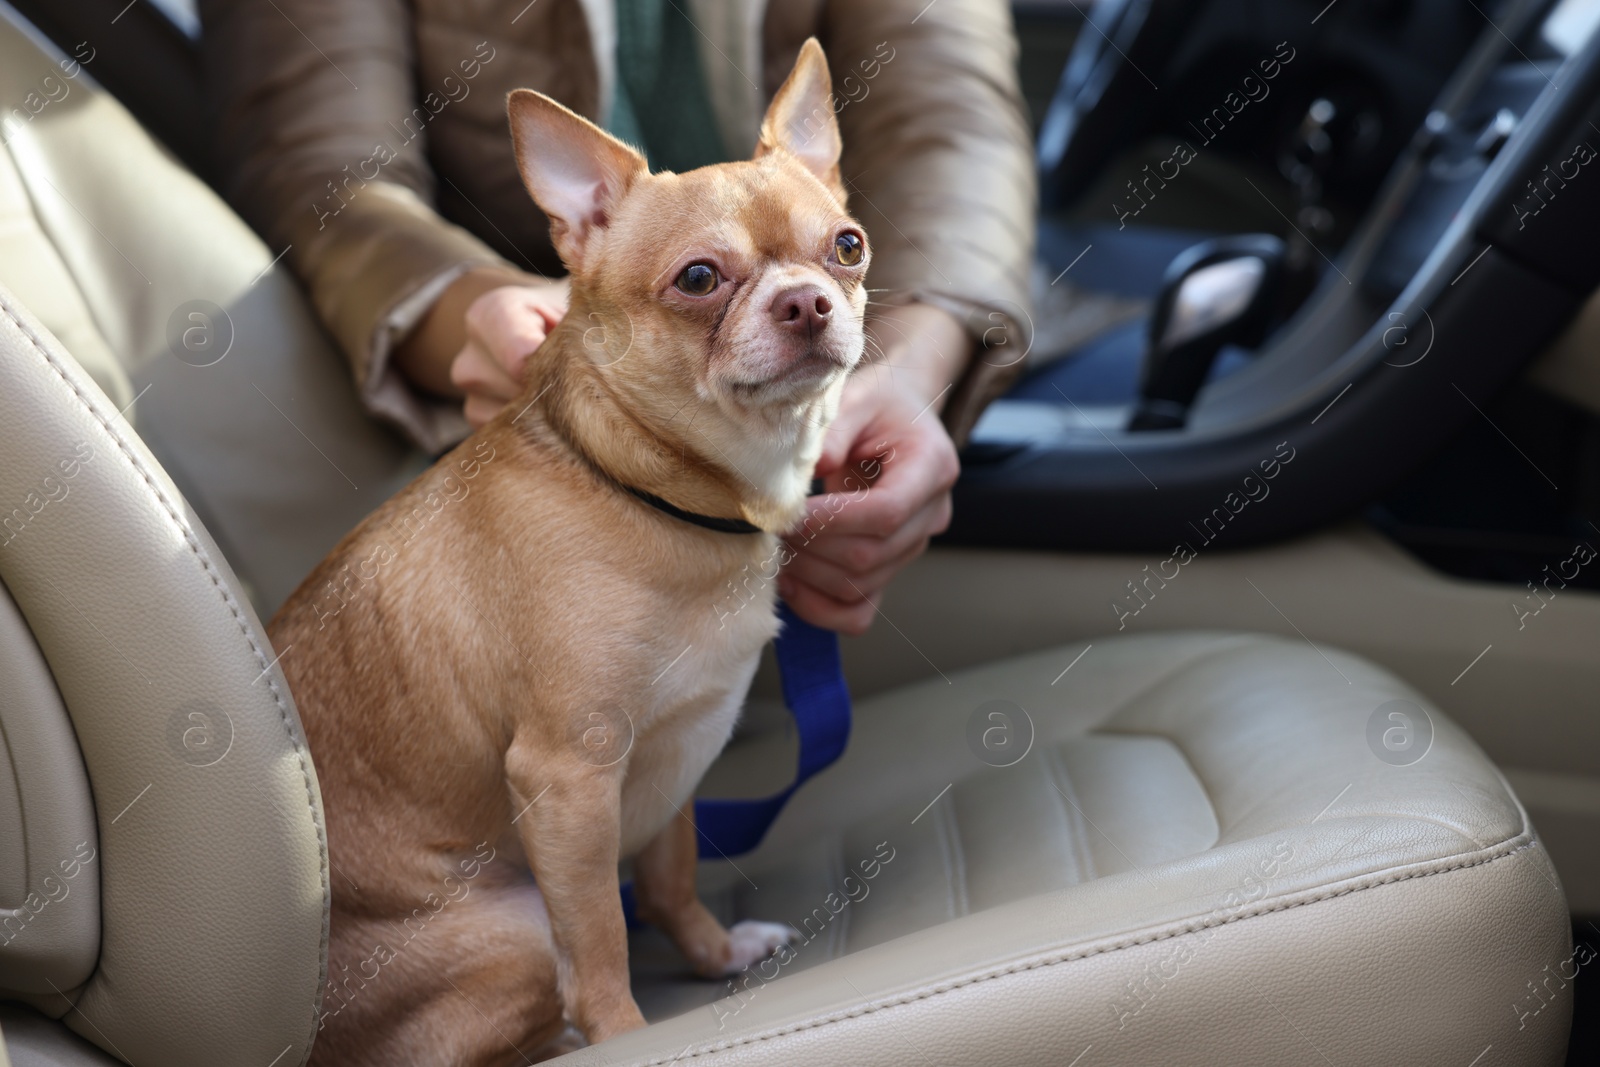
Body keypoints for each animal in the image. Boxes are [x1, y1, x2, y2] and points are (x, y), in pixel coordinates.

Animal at [272, 39, 876, 1067]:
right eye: (699, 279)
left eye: (847, 246)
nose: (807, 300)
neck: (647, 490)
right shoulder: (569, 779)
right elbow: (598, 941)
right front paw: (627, 1034)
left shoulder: (676, 751)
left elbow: (671, 877)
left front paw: (715, 953)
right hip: (513, 928)